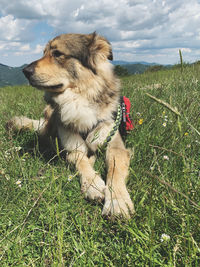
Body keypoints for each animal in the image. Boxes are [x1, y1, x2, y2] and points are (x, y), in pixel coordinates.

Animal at [7, 32, 134, 219]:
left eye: (57, 53)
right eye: (44, 53)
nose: (25, 71)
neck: (78, 99)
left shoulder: (115, 146)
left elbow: (114, 170)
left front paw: (116, 202)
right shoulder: (73, 148)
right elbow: (81, 161)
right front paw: (93, 184)